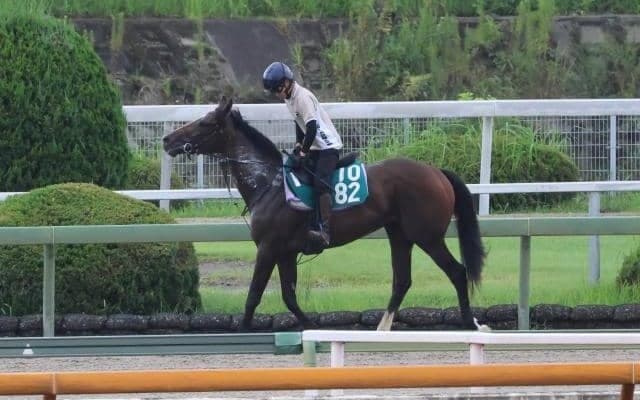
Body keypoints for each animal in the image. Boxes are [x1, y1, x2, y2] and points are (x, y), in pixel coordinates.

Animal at [163, 96, 486, 331]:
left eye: (205, 122)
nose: (167, 140)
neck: (270, 183)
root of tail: (436, 172)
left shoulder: (268, 248)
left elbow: (254, 295)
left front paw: (243, 330)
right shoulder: (286, 252)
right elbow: (289, 296)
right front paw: (309, 326)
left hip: (427, 236)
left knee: (457, 272)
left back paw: (470, 323)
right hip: (400, 234)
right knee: (402, 281)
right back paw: (383, 327)